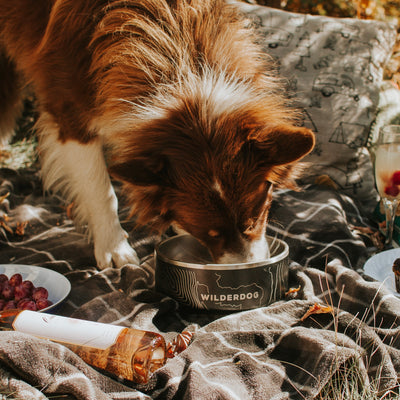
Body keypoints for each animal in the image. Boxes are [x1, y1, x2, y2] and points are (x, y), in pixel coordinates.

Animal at [0, 0, 314, 268]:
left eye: (253, 220)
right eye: (211, 234)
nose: (247, 269)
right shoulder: (69, 111)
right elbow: (100, 188)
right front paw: (113, 247)